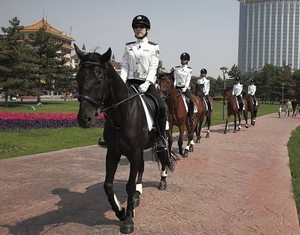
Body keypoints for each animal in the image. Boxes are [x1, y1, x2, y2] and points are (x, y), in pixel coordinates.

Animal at [74, 45, 176, 234]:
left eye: (100, 79)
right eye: (78, 78)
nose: (85, 119)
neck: (122, 115)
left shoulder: (134, 153)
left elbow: (128, 185)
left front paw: (128, 220)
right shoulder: (113, 153)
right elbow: (108, 185)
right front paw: (121, 212)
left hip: (163, 139)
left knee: (164, 157)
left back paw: (162, 181)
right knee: (142, 168)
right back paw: (138, 194)